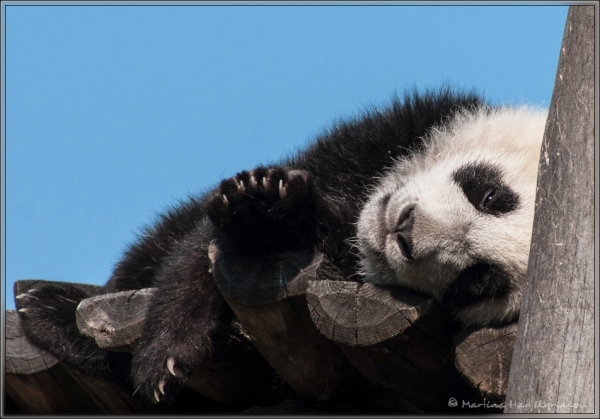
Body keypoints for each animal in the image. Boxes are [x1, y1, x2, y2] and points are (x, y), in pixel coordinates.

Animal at [15, 88, 548, 406]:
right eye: (490, 196)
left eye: (476, 282)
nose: (405, 235)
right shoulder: (392, 131)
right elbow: (200, 248)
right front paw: (265, 208)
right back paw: (48, 305)